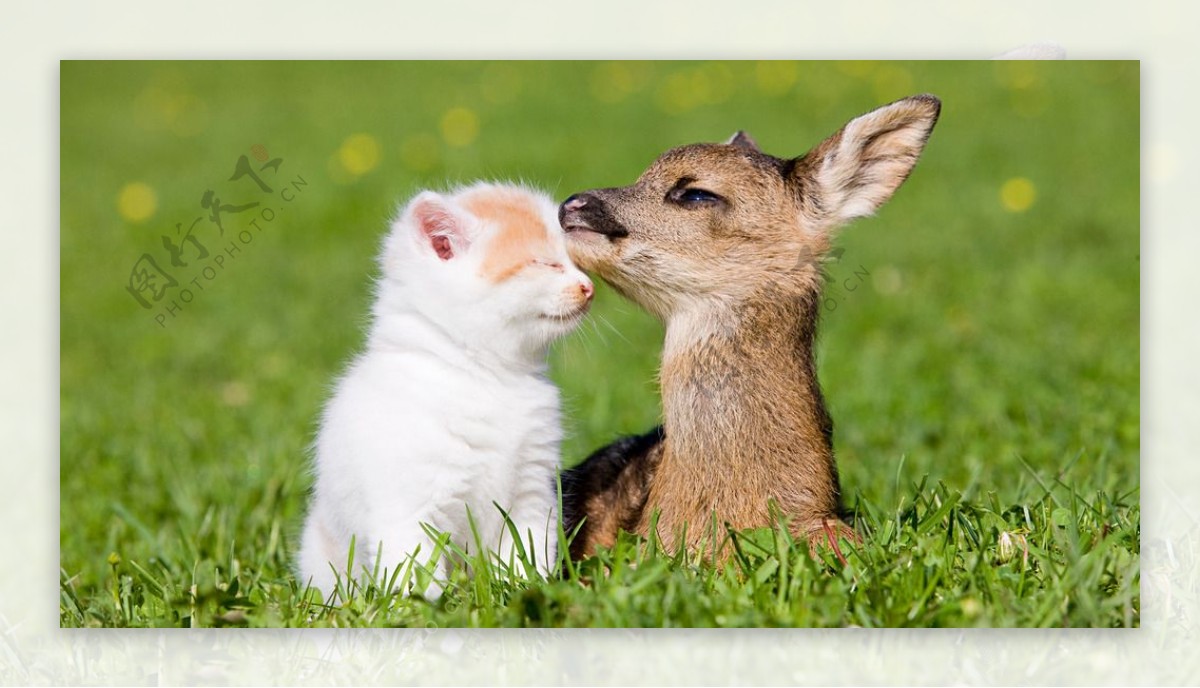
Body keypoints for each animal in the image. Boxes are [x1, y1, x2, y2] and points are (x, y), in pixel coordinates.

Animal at [297, 181, 592, 595]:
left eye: (578, 262)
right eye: (545, 263)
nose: (588, 286)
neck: (486, 376)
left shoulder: (531, 494)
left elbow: (525, 555)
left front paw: (524, 590)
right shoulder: (409, 509)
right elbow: (413, 575)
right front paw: (419, 606)